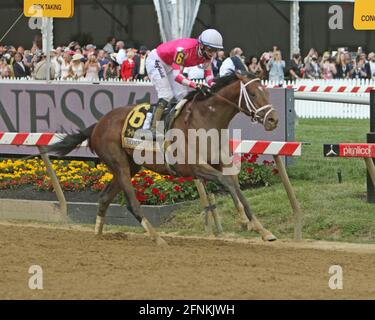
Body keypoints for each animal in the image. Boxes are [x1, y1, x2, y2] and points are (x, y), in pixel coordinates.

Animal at [44, 72, 280, 245]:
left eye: (267, 92)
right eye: (253, 93)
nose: (273, 120)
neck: (206, 120)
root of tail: (97, 124)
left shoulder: (221, 163)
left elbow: (237, 188)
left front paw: (260, 228)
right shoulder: (194, 167)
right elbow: (227, 183)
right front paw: (247, 222)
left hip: (131, 166)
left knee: (103, 197)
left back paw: (98, 235)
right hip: (119, 164)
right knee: (132, 202)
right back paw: (157, 238)